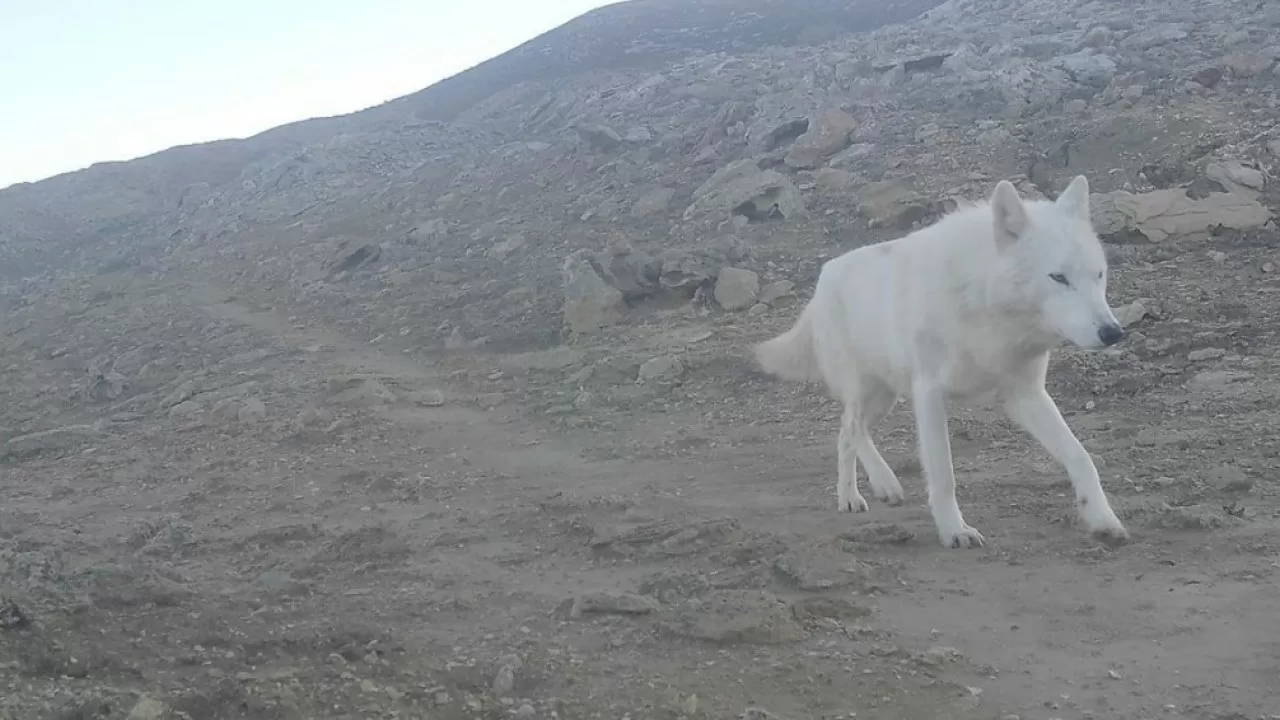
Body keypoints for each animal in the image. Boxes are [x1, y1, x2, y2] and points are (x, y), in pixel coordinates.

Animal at [757, 176, 1131, 545]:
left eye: (1099, 275)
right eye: (1058, 277)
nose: (1113, 332)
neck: (984, 306)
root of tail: (824, 275)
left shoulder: (1026, 396)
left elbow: (1081, 456)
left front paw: (1102, 518)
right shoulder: (929, 394)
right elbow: (943, 472)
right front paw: (955, 530)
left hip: (885, 397)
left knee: (846, 432)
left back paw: (867, 491)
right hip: (867, 391)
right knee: (850, 427)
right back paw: (868, 489)